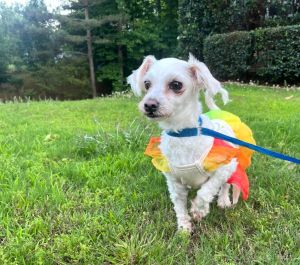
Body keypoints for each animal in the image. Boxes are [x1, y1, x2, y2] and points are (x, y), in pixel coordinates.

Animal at [126, 53, 253, 231]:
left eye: (176, 85)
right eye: (147, 84)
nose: (149, 105)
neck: (182, 134)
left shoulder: (224, 168)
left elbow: (207, 190)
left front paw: (199, 210)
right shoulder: (174, 183)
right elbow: (179, 206)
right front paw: (184, 227)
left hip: (232, 164)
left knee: (225, 185)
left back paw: (223, 200)